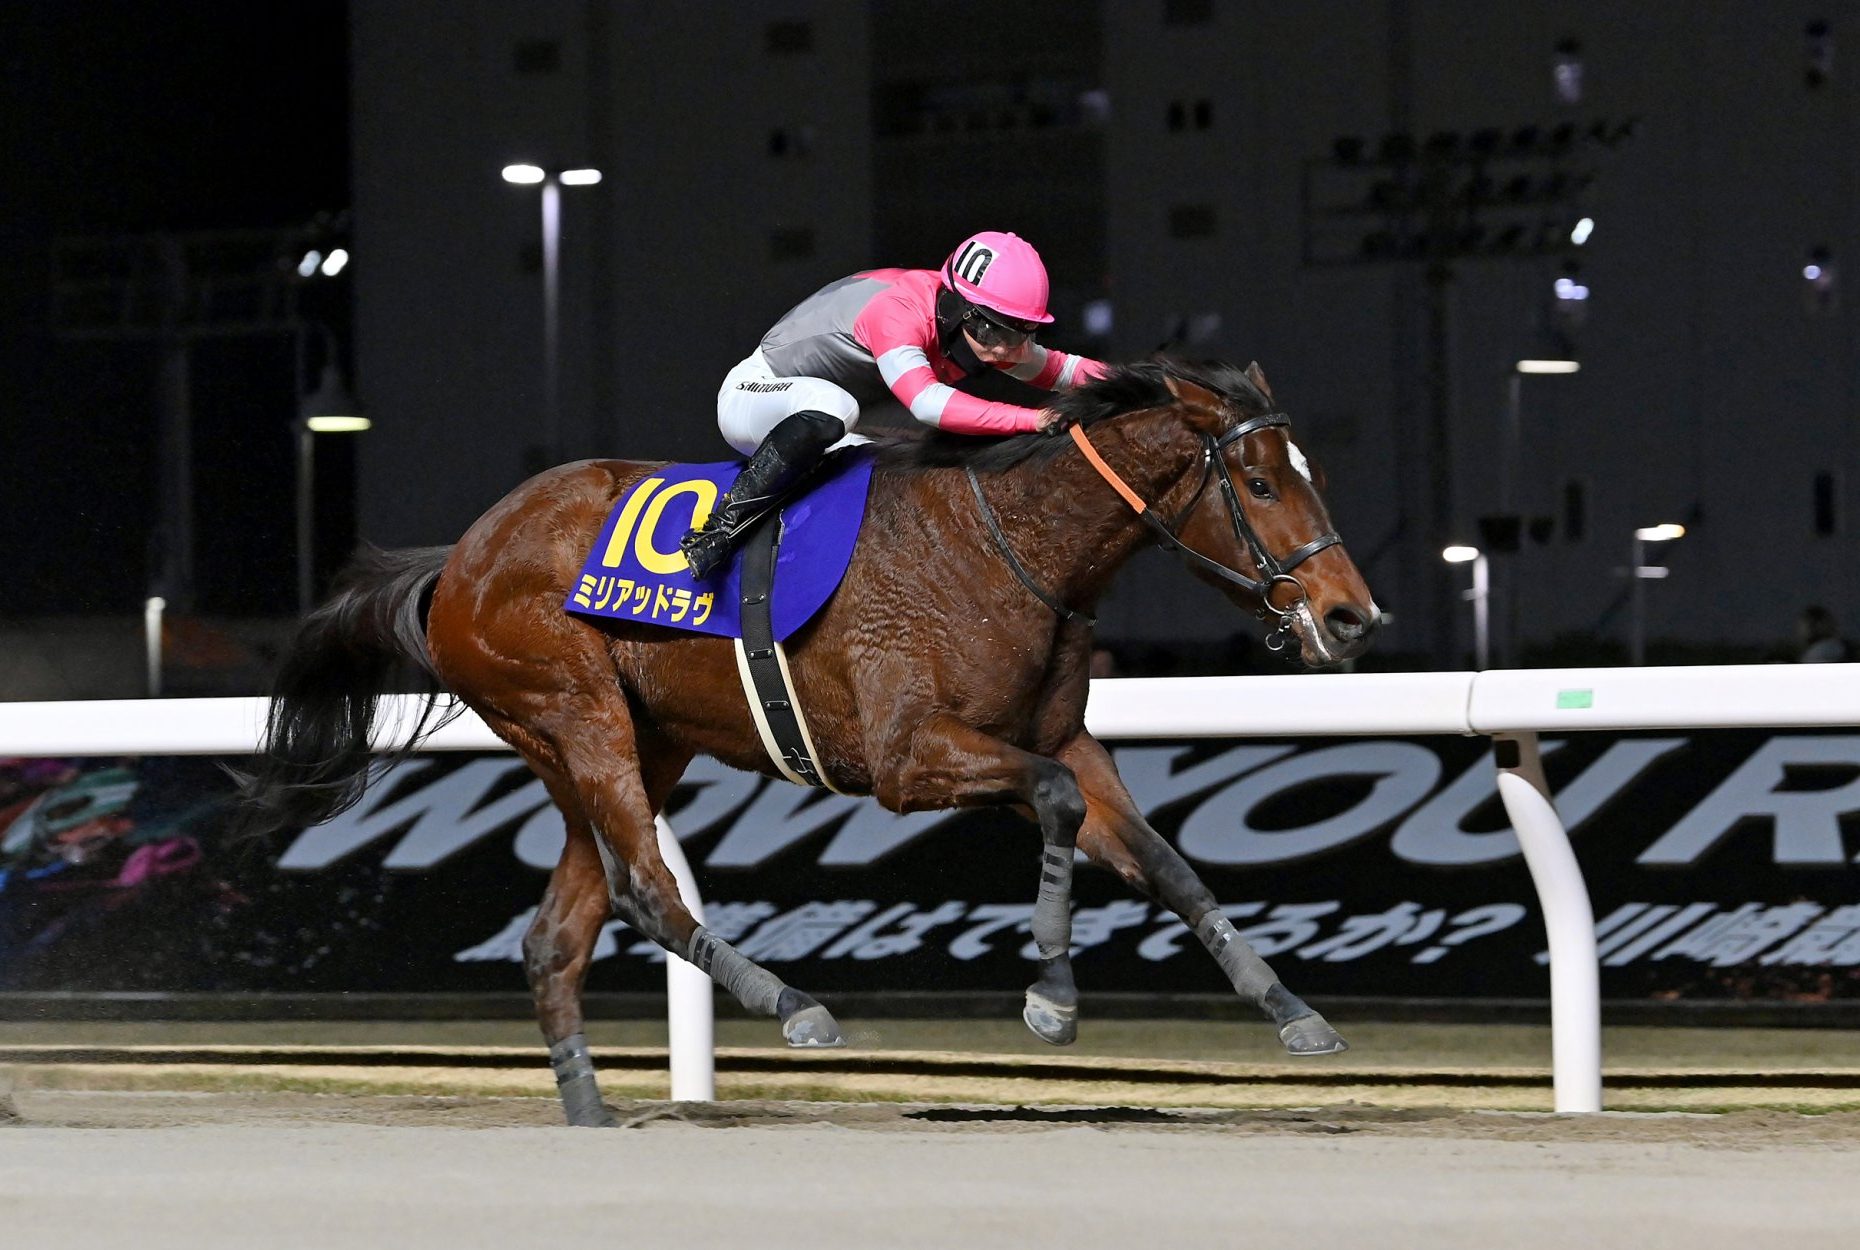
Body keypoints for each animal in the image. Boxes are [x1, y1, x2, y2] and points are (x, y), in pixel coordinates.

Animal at [240, 357, 1378, 1126]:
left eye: (1315, 472)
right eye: (1263, 484)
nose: (1352, 615)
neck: (1009, 545)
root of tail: (463, 558)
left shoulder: (1062, 736)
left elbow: (1166, 863)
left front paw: (1292, 1008)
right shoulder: (908, 755)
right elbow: (1053, 801)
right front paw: (1051, 999)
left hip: (627, 741)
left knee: (562, 927)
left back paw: (591, 1108)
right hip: (574, 709)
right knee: (649, 887)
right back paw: (788, 1002)